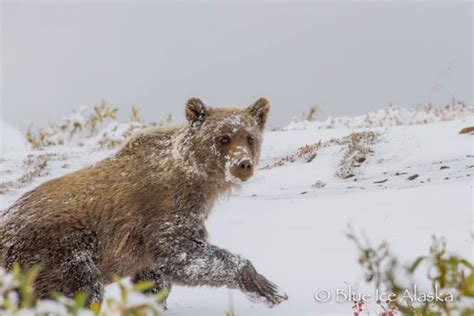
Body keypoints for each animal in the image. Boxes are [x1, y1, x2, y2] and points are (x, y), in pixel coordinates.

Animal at [0, 97, 288, 308]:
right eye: (223, 137)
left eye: (250, 137)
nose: (243, 164)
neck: (198, 182)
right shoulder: (164, 210)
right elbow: (179, 252)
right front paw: (266, 287)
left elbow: (154, 278)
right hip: (54, 253)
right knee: (82, 290)